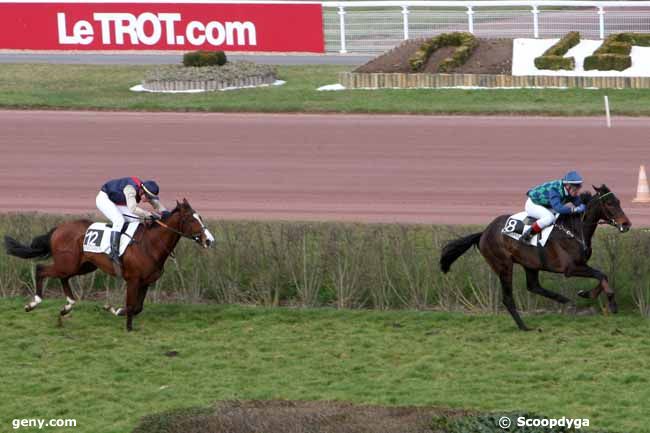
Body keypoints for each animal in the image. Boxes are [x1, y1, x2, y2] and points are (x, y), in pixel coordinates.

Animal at [3, 199, 214, 330]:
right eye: (191, 219)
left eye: (201, 217)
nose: (209, 240)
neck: (150, 243)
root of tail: (58, 229)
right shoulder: (133, 280)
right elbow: (132, 305)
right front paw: (127, 327)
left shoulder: (146, 281)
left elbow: (137, 307)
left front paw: (114, 310)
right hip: (68, 264)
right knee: (41, 269)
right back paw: (34, 303)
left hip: (82, 266)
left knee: (63, 277)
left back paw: (67, 306)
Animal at [438, 184, 632, 330]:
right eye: (609, 203)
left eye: (618, 201)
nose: (626, 224)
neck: (575, 230)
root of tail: (483, 233)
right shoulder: (570, 268)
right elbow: (600, 274)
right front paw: (611, 302)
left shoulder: (580, 265)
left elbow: (602, 275)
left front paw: (586, 293)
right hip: (504, 265)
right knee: (508, 298)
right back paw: (524, 326)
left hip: (530, 263)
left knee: (534, 286)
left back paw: (564, 300)